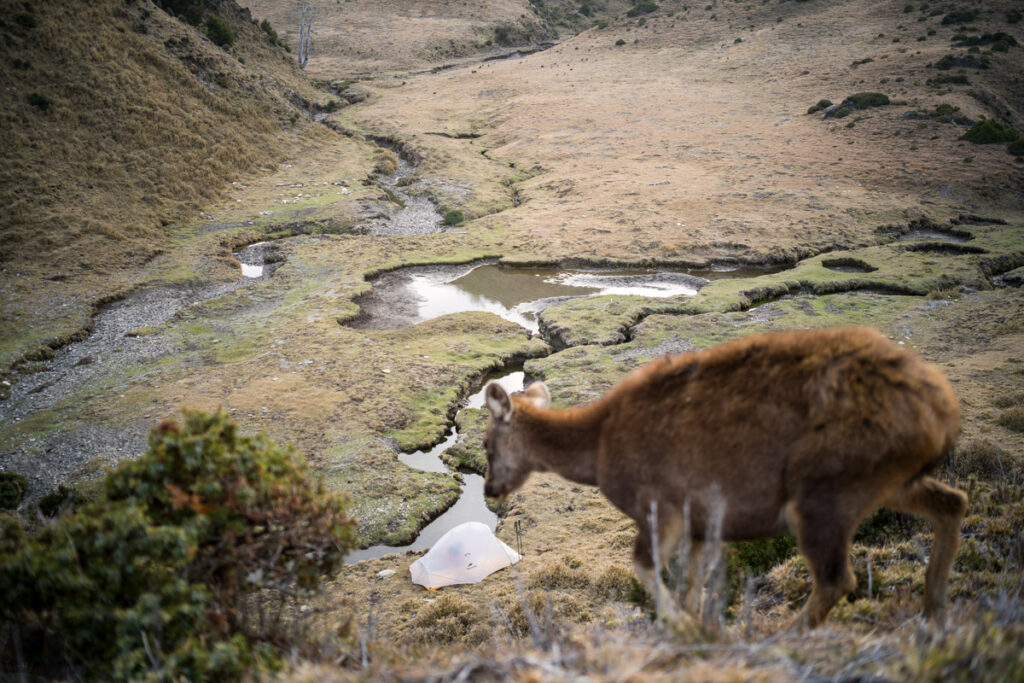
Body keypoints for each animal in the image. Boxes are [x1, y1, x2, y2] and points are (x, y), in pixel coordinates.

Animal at [483, 326, 967, 630]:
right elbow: (693, 584)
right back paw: (933, 616)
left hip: (825, 486)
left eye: (487, 445)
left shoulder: (661, 503)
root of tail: (943, 410)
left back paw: (782, 637)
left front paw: (684, 627)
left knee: (837, 580)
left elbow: (645, 568)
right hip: (887, 479)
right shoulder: (700, 522)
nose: (490, 489)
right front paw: (697, 625)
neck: (596, 453)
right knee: (953, 503)